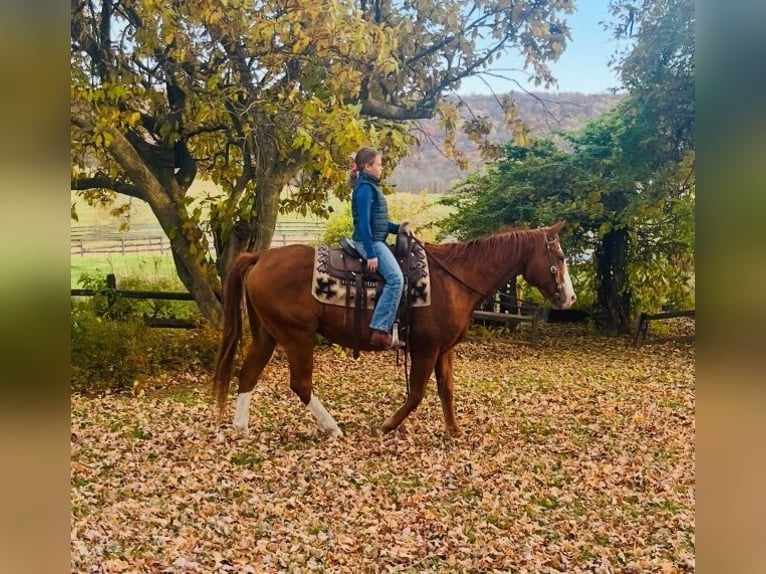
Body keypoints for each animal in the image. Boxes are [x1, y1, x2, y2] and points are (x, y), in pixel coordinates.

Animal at [213, 221, 576, 438]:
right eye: (559, 256)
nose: (569, 298)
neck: (454, 279)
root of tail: (260, 257)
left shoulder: (444, 350)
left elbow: (447, 390)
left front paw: (454, 431)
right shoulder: (426, 349)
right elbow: (416, 393)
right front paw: (387, 425)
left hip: (268, 334)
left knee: (248, 373)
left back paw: (241, 427)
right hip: (297, 336)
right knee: (300, 384)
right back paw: (333, 428)